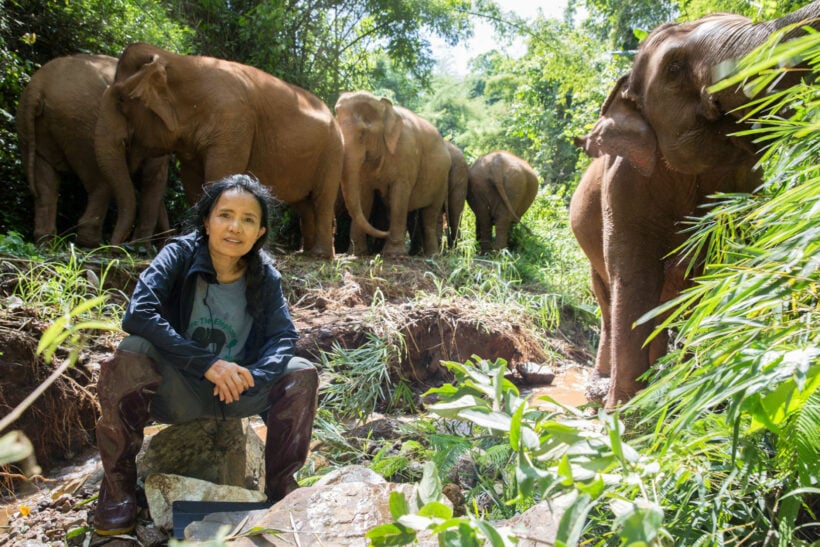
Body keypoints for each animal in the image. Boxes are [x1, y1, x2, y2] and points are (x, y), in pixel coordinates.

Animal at [15, 53, 170, 246]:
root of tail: (38, 87)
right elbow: (154, 176)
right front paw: (144, 247)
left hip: (29, 127)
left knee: (44, 183)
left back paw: (46, 244)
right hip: (83, 124)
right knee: (100, 182)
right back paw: (92, 245)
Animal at [94, 44, 344, 258]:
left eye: (121, 101)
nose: (113, 249)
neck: (179, 61)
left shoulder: (233, 122)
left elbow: (220, 174)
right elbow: (192, 182)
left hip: (333, 152)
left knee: (322, 199)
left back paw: (319, 256)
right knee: (305, 204)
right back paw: (306, 253)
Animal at [334, 91, 452, 258]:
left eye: (362, 134)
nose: (386, 232)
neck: (384, 108)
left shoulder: (406, 154)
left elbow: (399, 195)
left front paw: (394, 254)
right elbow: (364, 196)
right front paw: (356, 253)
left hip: (442, 179)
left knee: (430, 213)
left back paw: (431, 256)